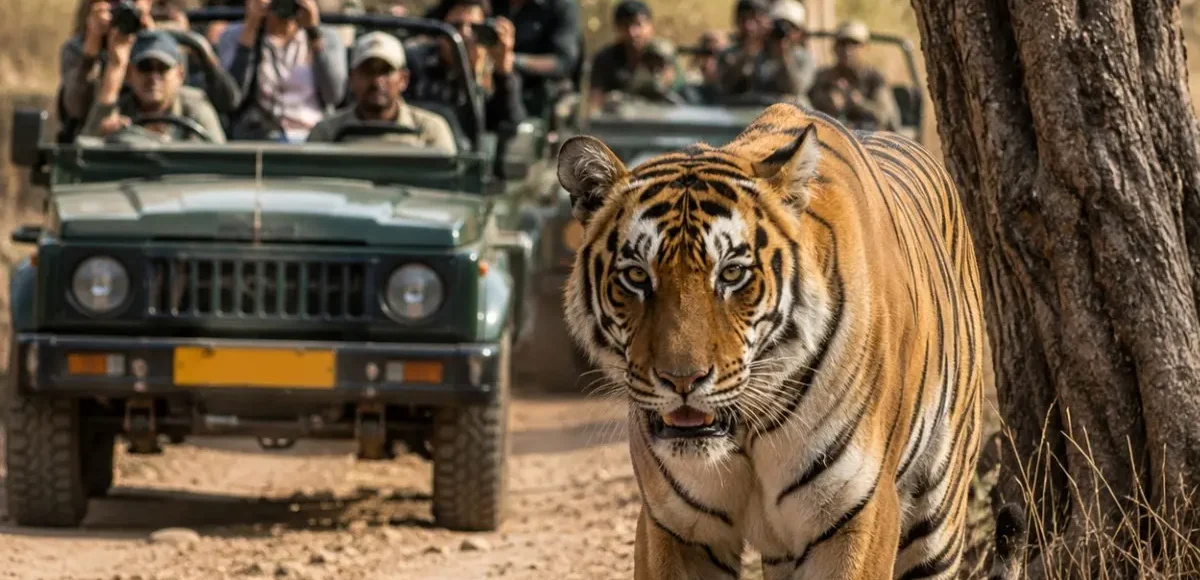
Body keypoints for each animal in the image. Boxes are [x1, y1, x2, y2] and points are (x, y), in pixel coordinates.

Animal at [556, 102, 987, 579]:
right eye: (636, 276)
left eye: (731, 273)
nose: (682, 381)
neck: (744, 433)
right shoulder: (673, 525)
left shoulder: (859, 513)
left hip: (938, 513)